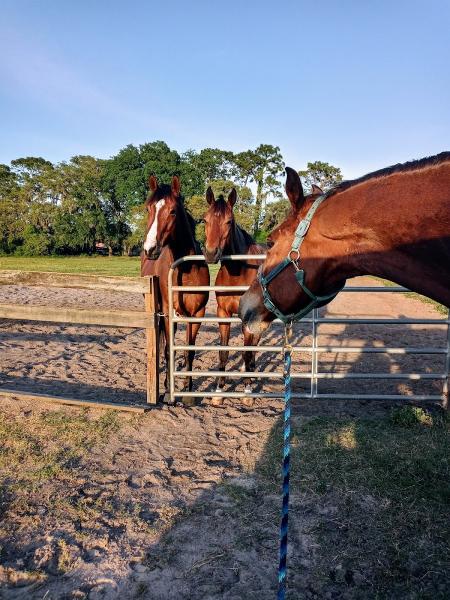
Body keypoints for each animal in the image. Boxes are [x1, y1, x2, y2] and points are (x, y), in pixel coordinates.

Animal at [141, 176, 209, 400]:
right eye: (148, 209)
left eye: (172, 211)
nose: (150, 249)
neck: (186, 269)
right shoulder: (168, 313)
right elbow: (169, 349)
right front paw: (169, 392)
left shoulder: (197, 314)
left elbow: (189, 350)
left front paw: (188, 391)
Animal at [203, 188, 268, 394]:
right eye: (204, 220)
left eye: (229, 221)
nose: (211, 253)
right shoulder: (223, 313)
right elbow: (223, 351)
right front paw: (219, 386)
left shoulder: (247, 317)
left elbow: (246, 352)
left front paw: (247, 387)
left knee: (254, 343)